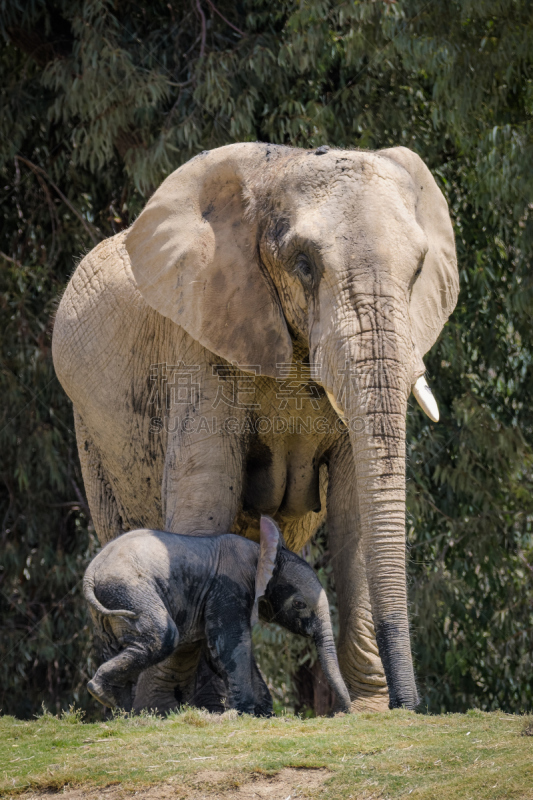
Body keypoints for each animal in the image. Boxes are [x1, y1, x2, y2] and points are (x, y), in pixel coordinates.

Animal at [84, 516, 350, 716]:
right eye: (299, 604)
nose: (344, 713)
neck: (262, 552)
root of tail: (90, 574)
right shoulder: (228, 586)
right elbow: (230, 643)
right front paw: (246, 714)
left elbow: (223, 652)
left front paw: (264, 715)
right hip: (128, 590)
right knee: (163, 636)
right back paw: (102, 693)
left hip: (108, 606)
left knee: (116, 646)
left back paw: (119, 709)